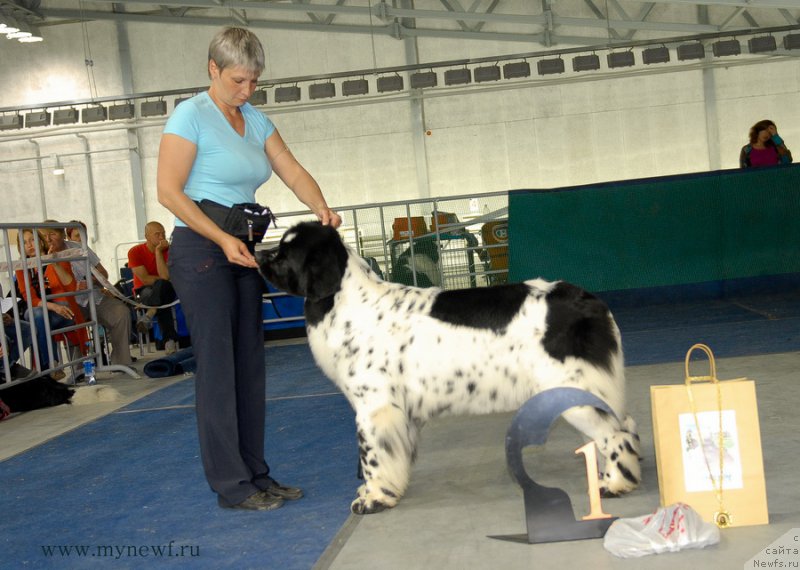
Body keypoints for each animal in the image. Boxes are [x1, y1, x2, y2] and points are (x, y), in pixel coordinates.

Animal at [260, 222, 640, 516]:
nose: (260, 254)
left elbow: (372, 456)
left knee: (615, 433)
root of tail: (589, 300)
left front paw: (373, 499)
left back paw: (616, 484)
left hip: (573, 391)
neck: (345, 300)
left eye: (283, 254)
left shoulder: (374, 406)